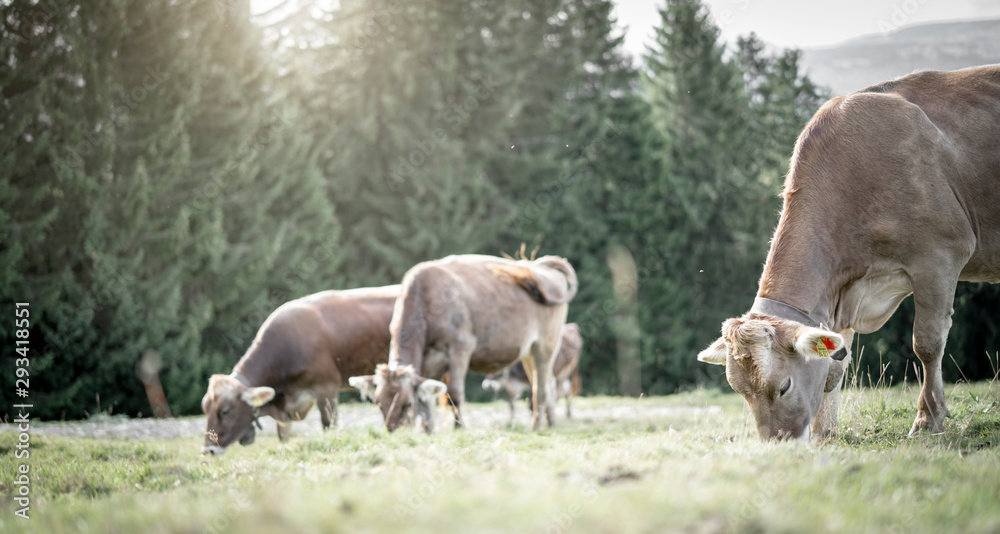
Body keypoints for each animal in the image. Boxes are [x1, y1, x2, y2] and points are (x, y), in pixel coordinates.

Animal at [201, 285, 399, 454]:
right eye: (205, 408)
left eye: (225, 411)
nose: (208, 450)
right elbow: (283, 436)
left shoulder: (326, 388)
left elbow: (329, 425)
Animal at [349, 254, 578, 432]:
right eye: (378, 403)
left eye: (407, 404)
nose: (393, 430)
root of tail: (538, 266)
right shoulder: (429, 359)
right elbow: (428, 396)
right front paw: (427, 429)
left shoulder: (461, 347)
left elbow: (454, 391)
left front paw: (459, 427)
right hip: (529, 352)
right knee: (548, 383)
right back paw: (551, 423)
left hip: (546, 345)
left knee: (540, 387)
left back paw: (536, 425)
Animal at [696, 65, 1000, 441]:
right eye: (741, 392)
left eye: (783, 386)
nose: (777, 443)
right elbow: (836, 364)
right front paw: (825, 431)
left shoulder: (941, 254)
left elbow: (927, 343)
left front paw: (928, 420)